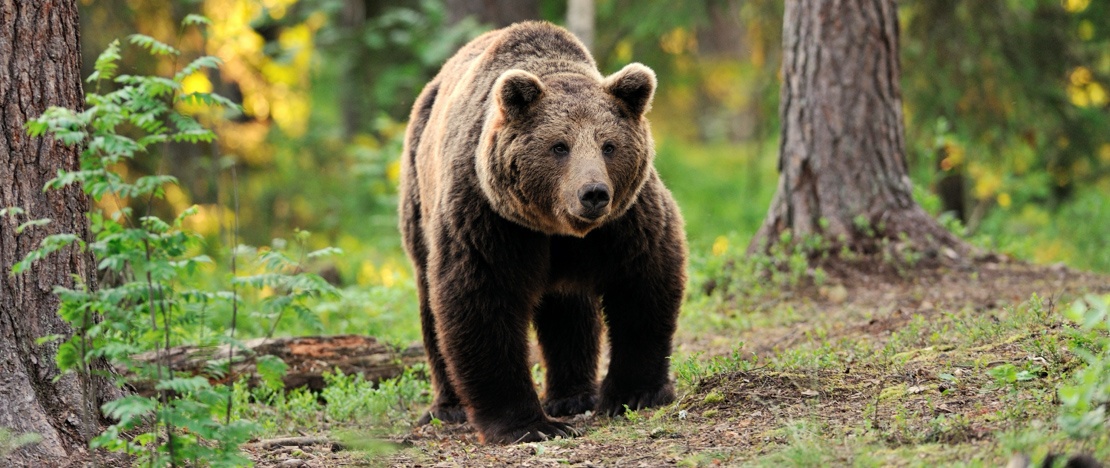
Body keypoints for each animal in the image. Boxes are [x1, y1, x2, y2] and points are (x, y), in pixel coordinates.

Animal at [399, 21, 683, 445]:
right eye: (559, 146)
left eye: (609, 145)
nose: (593, 193)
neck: (554, 226)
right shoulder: (489, 219)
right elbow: (481, 303)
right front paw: (528, 424)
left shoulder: (625, 220)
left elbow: (642, 284)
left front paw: (635, 393)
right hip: (419, 201)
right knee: (430, 303)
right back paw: (448, 406)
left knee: (569, 307)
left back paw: (573, 395)